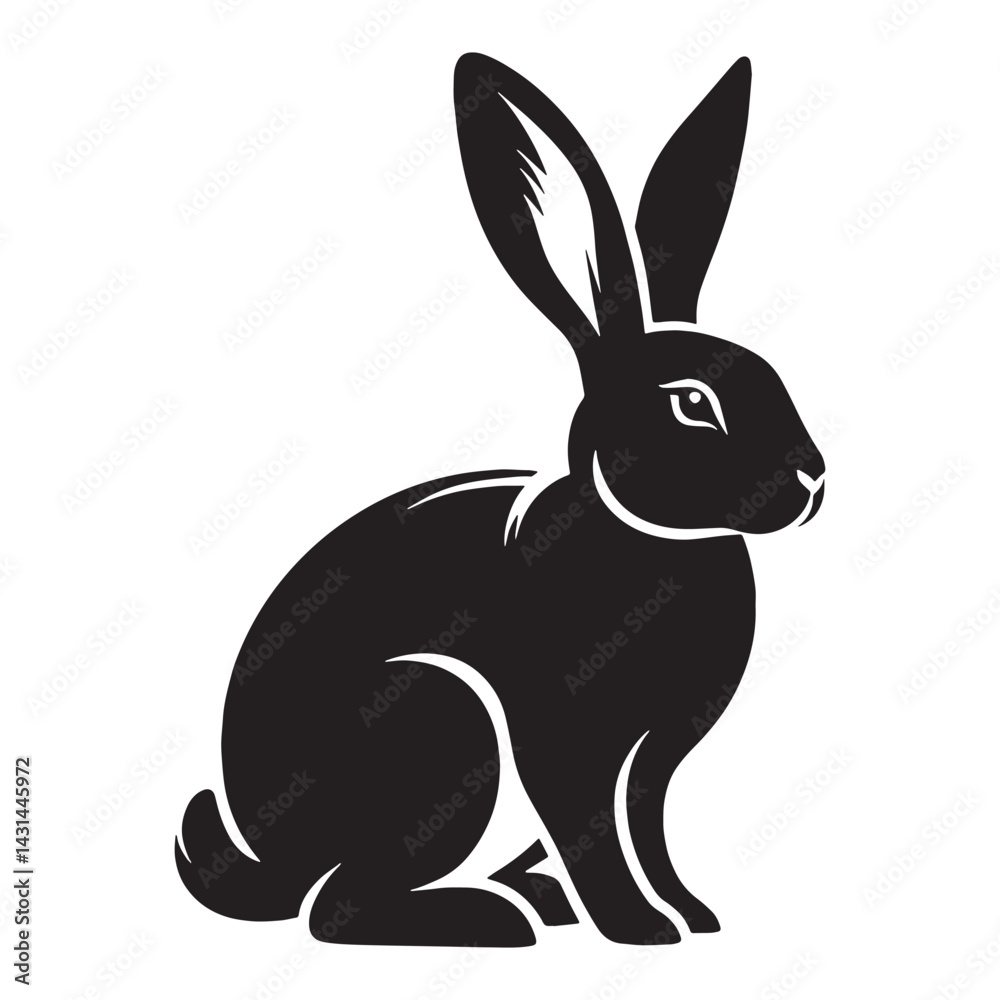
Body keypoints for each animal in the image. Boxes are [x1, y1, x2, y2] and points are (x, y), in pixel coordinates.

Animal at [175, 52, 826, 948]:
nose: (813, 479)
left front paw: (692, 914)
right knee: (337, 910)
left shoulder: (651, 760)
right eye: (693, 403)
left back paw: (537, 903)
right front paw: (640, 929)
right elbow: (596, 833)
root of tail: (265, 851)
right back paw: (498, 919)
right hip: (443, 728)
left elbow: (648, 830)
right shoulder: (562, 742)